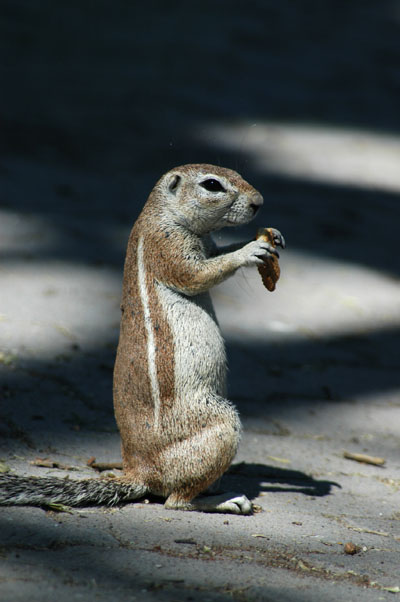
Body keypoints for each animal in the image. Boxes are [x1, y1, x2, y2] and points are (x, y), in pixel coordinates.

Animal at [1, 163, 286, 510]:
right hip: (221, 424)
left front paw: (270, 236)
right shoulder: (167, 247)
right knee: (176, 500)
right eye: (212, 185)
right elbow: (199, 274)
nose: (259, 202)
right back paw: (225, 501)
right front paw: (251, 249)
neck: (162, 214)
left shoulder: (207, 245)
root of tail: (139, 471)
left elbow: (218, 253)